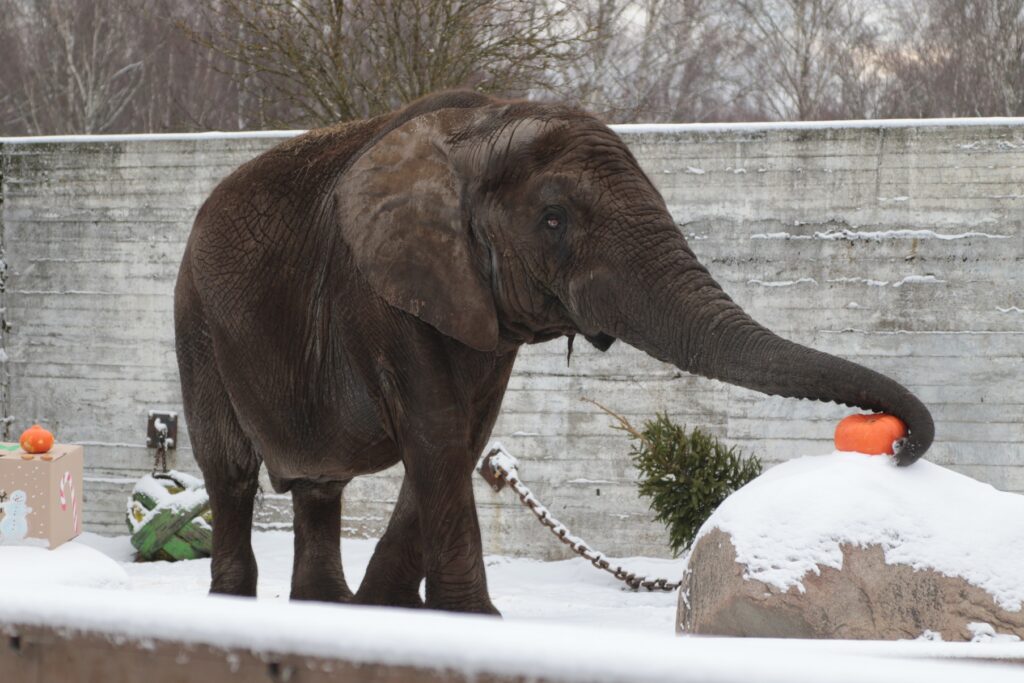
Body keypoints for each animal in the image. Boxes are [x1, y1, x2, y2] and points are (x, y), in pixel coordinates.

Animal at [174, 90, 934, 614]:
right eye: (552, 219)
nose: (896, 442)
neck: (479, 127)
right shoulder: (382, 291)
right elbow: (438, 434)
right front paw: (468, 619)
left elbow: (462, 437)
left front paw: (390, 612)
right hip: (197, 321)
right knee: (231, 472)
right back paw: (235, 603)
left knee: (318, 488)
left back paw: (327, 609)